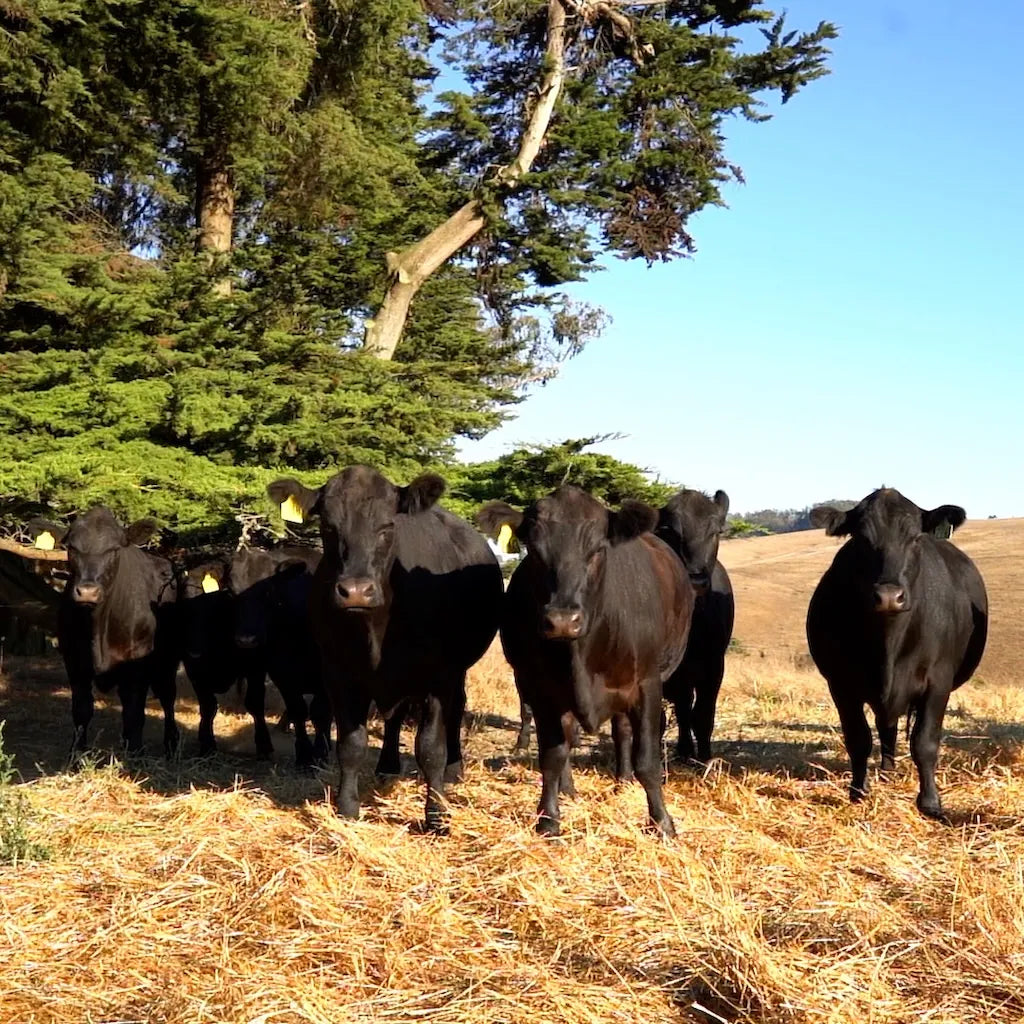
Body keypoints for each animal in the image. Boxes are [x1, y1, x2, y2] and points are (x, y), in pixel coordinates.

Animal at [50, 507, 180, 760]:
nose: (87, 592)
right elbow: (81, 709)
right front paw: (76, 755)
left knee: (167, 697)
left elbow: (133, 711)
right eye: (72, 548)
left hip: (167, 661)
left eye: (114, 549)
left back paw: (171, 745)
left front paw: (134, 754)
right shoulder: (73, 659)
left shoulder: (137, 663)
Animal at [266, 467, 503, 833]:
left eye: (388, 526)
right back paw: (388, 766)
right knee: (395, 717)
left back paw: (453, 769)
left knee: (455, 711)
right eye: (328, 526)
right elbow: (351, 745)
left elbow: (430, 748)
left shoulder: (439, 676)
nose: (355, 591)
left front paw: (436, 815)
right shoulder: (338, 673)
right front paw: (347, 807)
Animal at [477, 486, 694, 837]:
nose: (563, 621)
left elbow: (647, 759)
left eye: (597, 549)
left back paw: (623, 779)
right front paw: (548, 818)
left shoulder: (647, 684)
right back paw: (569, 789)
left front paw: (661, 822)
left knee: (622, 731)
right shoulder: (542, 689)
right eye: (534, 551)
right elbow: (553, 755)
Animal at [654, 488, 735, 764]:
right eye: (670, 530)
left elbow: (703, 715)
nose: (696, 578)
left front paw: (705, 759)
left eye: (716, 531)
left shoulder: (714, 665)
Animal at [805, 488, 988, 821]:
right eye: (860, 538)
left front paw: (930, 802)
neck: (888, 645)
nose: (889, 596)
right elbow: (858, 738)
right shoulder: (840, 684)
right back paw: (887, 768)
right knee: (884, 725)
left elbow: (925, 742)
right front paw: (858, 792)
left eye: (915, 538)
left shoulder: (938, 682)